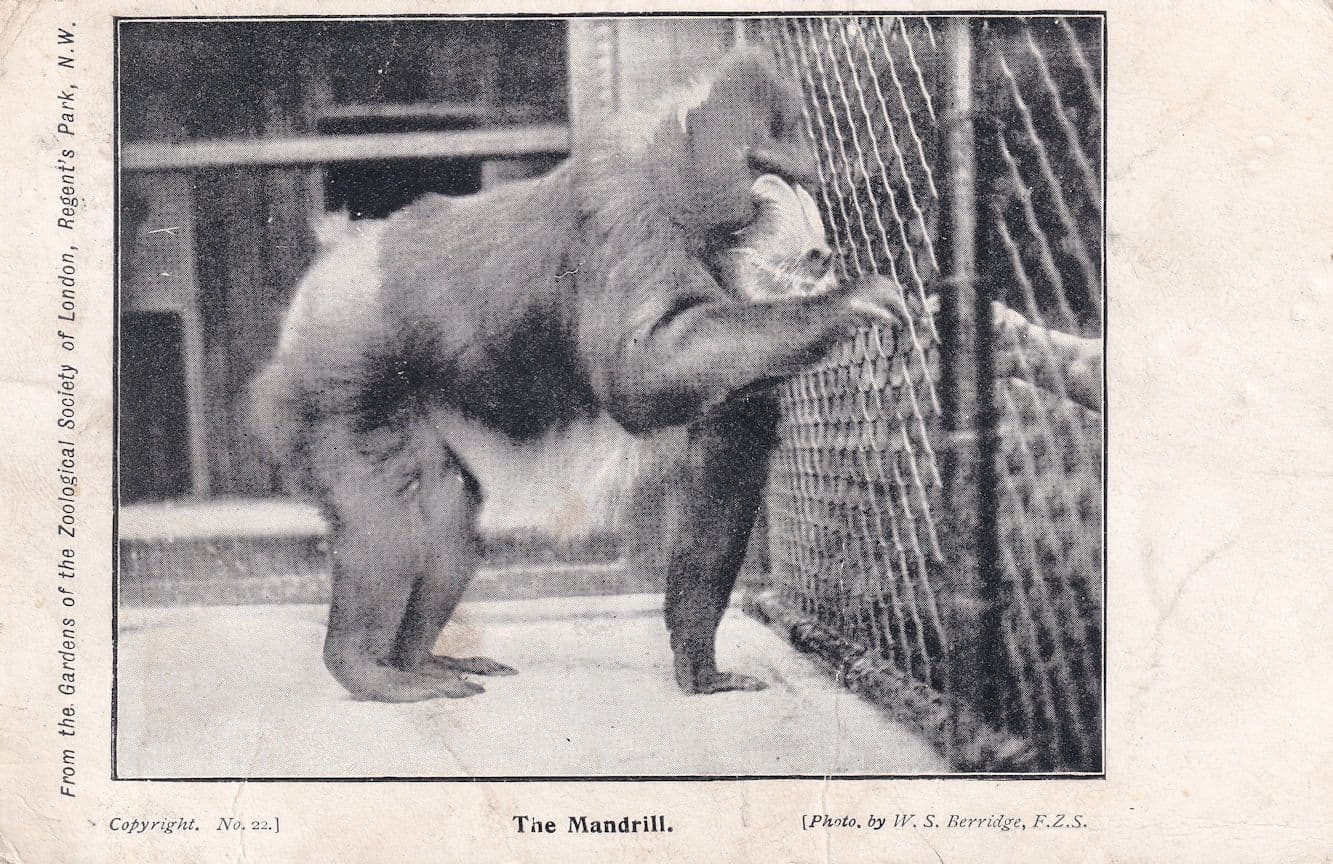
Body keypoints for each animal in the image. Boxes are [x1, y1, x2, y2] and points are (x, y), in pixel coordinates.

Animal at [249, 47, 910, 703]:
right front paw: (852, 301)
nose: (817, 248)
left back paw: (417, 663)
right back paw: (363, 669)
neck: (673, 171)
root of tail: (340, 258)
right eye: (763, 169)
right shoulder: (624, 209)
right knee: (397, 513)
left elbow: (725, 459)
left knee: (449, 521)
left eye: (800, 178)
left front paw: (699, 664)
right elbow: (639, 376)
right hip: (343, 379)